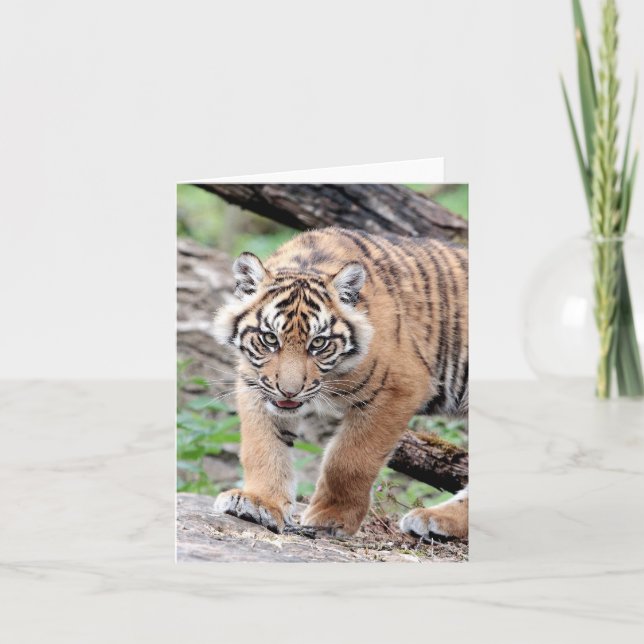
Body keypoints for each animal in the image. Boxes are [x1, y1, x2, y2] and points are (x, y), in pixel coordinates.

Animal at [213, 226, 468, 539]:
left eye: (318, 343)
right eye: (270, 338)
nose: (289, 391)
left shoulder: (399, 387)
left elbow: (349, 460)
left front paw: (331, 519)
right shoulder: (255, 385)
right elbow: (262, 445)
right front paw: (257, 502)